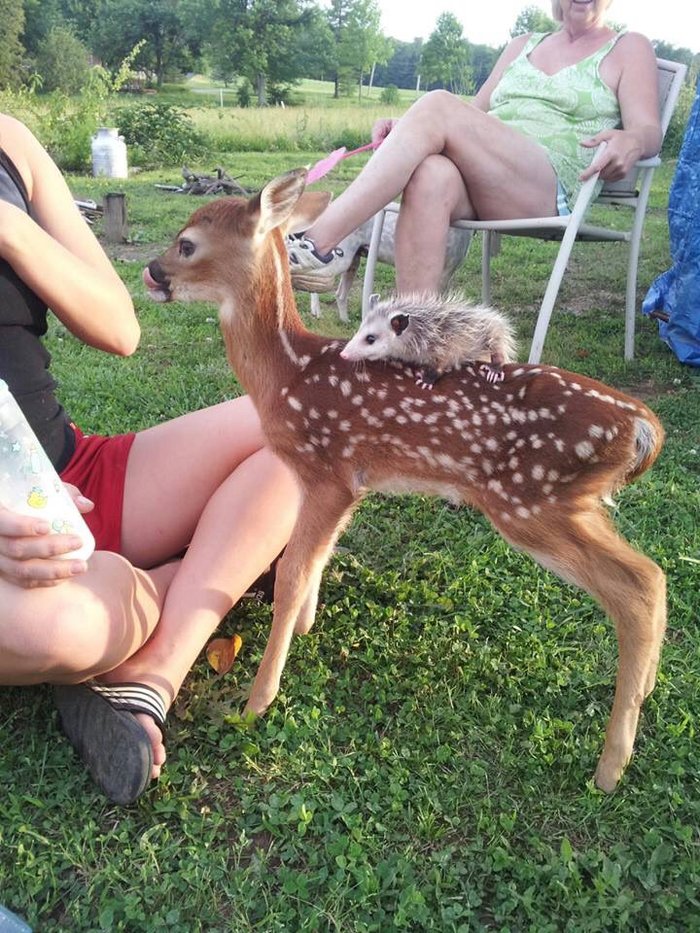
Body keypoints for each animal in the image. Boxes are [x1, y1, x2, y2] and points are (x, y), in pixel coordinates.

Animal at [145, 169, 664, 792]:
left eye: (187, 243)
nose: (151, 272)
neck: (287, 374)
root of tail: (642, 425)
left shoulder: (329, 469)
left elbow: (293, 571)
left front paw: (258, 698)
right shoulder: (342, 481)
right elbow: (317, 560)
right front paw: (306, 629)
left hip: (528, 499)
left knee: (639, 586)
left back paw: (611, 766)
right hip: (573, 502)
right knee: (653, 578)